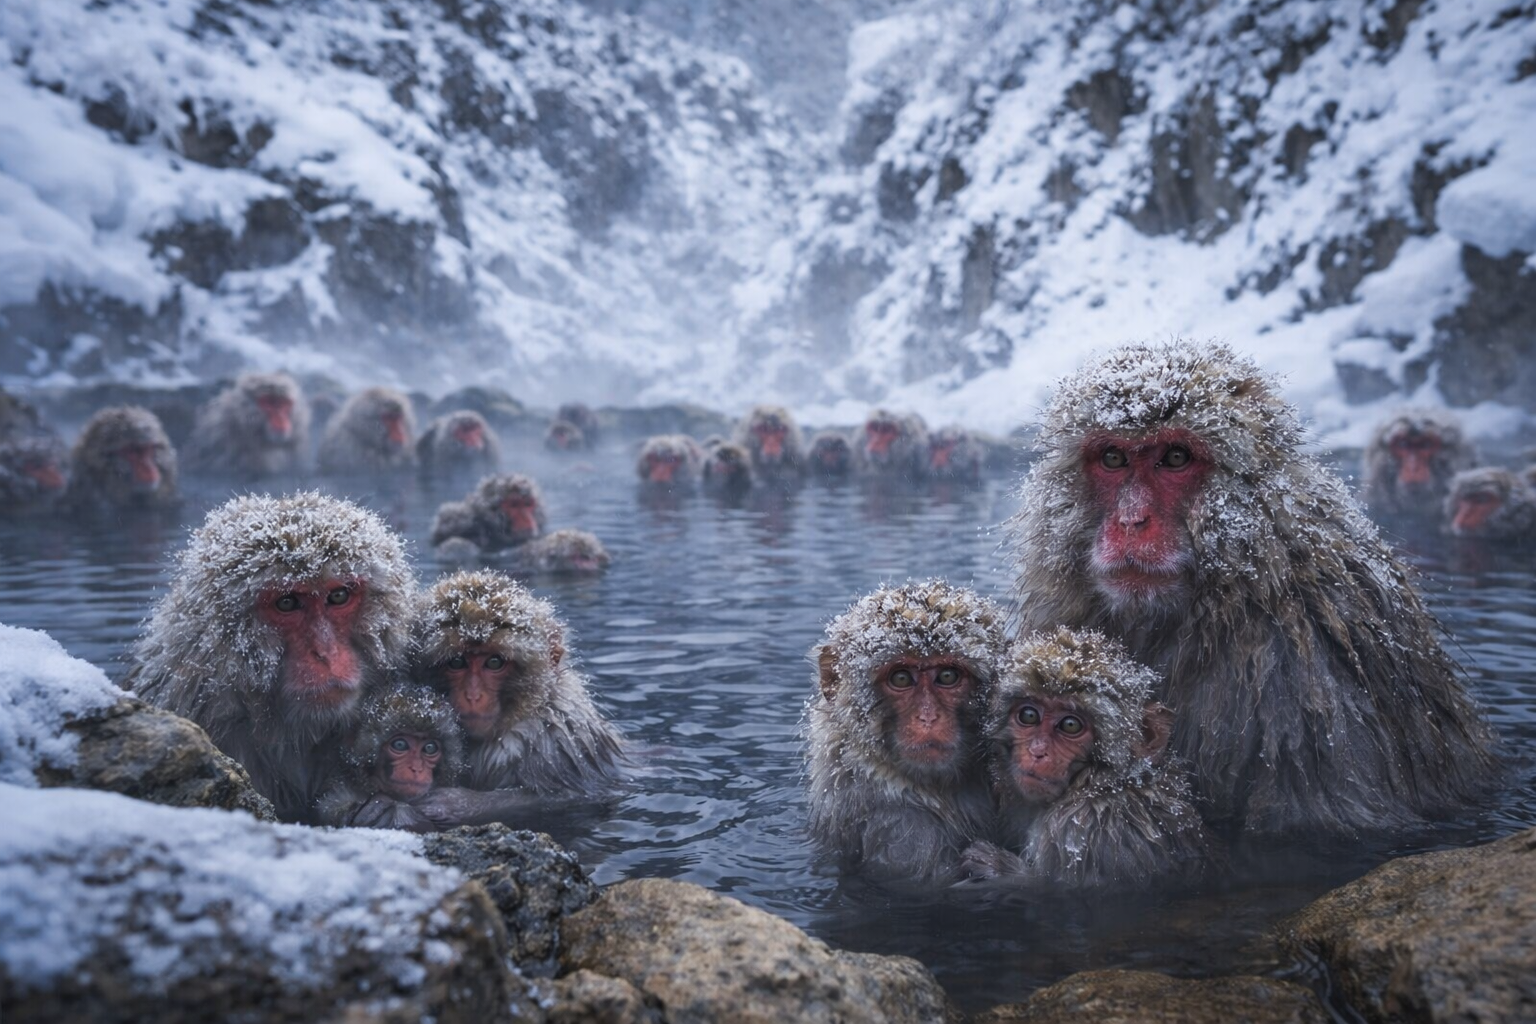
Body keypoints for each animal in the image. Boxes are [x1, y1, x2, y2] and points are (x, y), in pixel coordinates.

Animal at [413, 569, 627, 808]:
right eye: (457, 662)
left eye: (494, 662)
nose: (473, 695)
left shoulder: (553, 742)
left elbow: (559, 797)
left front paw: (453, 804)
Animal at [960, 627, 1212, 888]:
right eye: (1029, 715)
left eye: (1070, 725)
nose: (1037, 751)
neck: (1100, 780)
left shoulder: (1081, 824)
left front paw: (996, 868)